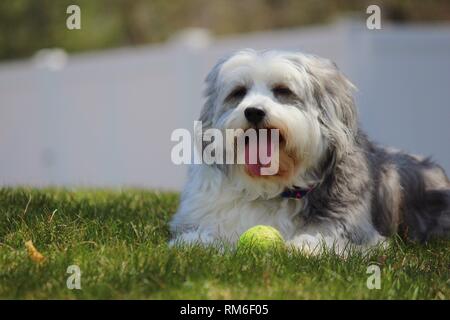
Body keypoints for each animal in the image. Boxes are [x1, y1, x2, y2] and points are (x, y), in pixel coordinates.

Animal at [170, 49, 450, 255]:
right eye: (238, 92)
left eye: (283, 90)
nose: (254, 112)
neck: (274, 186)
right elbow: (199, 236)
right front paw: (196, 243)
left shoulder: (359, 234)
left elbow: (327, 241)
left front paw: (303, 246)